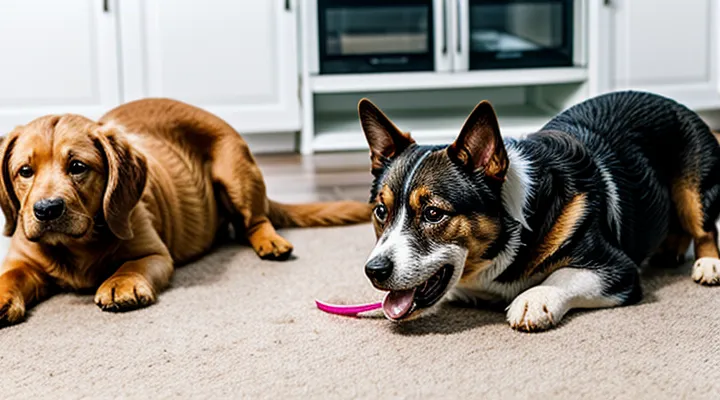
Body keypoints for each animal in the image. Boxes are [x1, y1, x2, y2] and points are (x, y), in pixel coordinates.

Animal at [0, 98, 372, 324]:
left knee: (255, 221)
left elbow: (131, 263)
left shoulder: (154, 253)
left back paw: (270, 241)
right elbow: (10, 275)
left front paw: (121, 283)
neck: (76, 247)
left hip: (236, 172)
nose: (46, 209)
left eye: (77, 166)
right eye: (24, 171)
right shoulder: (22, 260)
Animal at [358, 90, 720, 332]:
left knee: (703, 227)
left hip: (692, 190)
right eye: (381, 211)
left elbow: (563, 275)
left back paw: (708, 264)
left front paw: (533, 300)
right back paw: (670, 251)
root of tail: (675, 103)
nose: (373, 271)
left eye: (434, 214)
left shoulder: (618, 268)